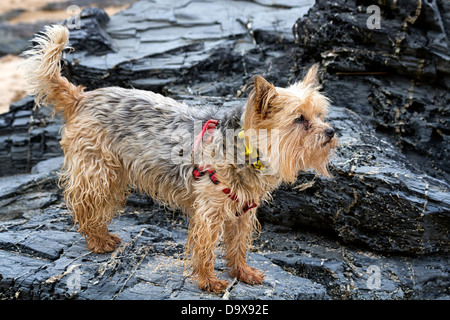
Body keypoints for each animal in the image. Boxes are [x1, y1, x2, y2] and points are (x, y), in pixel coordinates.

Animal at [22, 25, 338, 292]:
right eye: (299, 119)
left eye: (320, 115)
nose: (332, 132)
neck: (245, 149)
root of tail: (82, 98)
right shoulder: (209, 212)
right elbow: (205, 247)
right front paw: (209, 281)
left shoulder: (242, 212)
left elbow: (237, 245)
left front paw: (242, 272)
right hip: (97, 171)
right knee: (85, 205)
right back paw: (98, 241)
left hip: (115, 174)